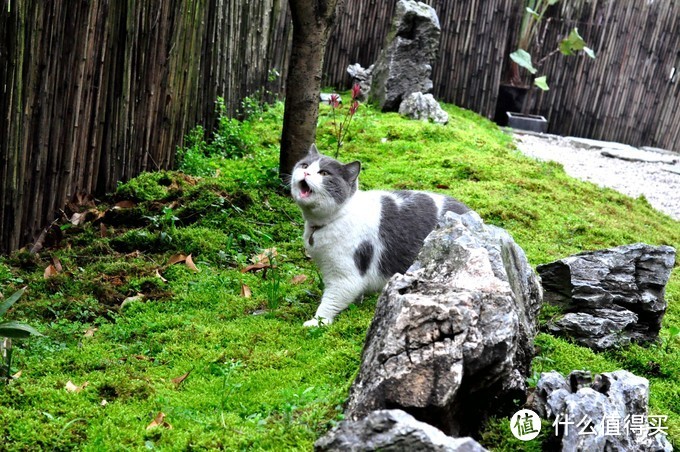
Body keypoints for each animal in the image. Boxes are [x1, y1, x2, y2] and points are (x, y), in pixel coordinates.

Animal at [290, 145, 470, 324]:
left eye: (324, 173)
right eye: (304, 165)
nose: (306, 173)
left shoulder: (345, 276)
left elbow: (331, 301)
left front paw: (317, 322)